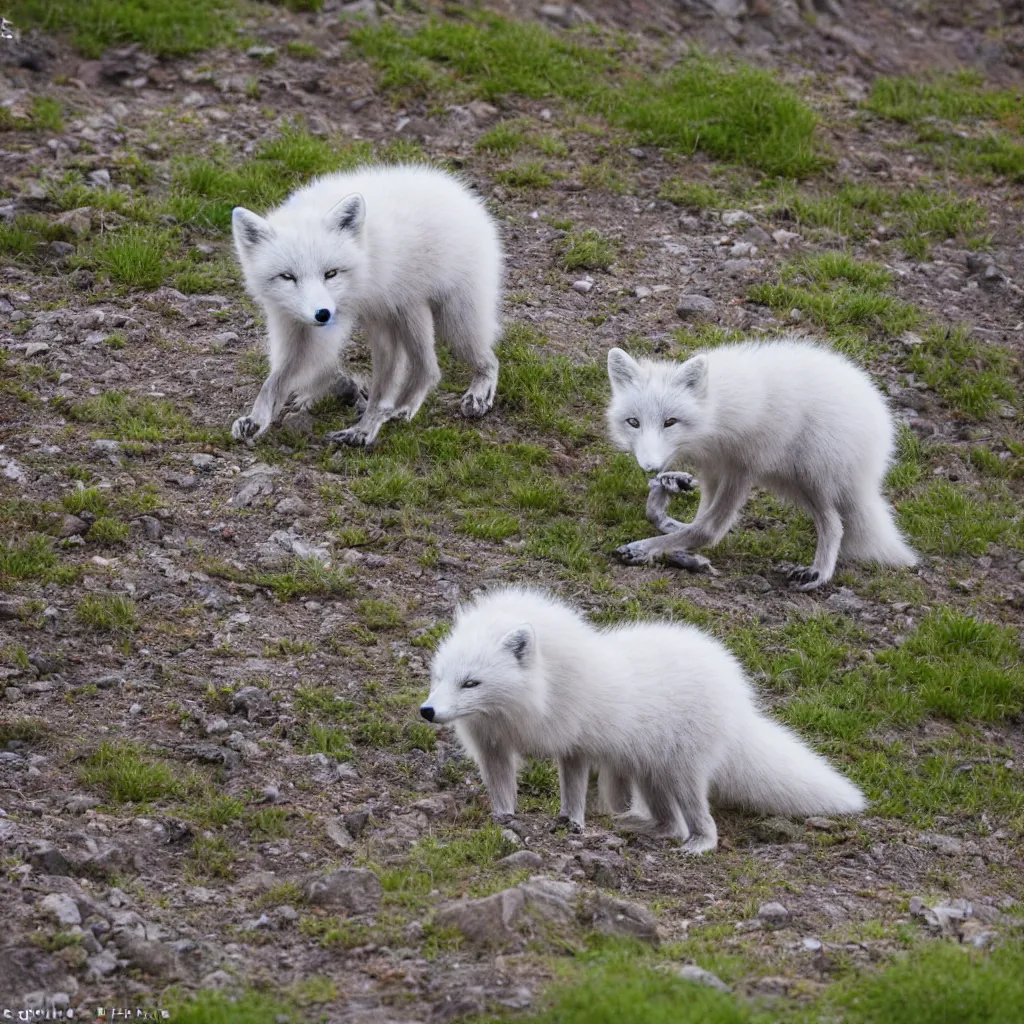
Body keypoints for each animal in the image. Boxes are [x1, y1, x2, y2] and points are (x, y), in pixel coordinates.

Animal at [231, 162, 503, 444]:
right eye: (287, 277)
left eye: (331, 273)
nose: (322, 314)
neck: (366, 260)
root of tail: (461, 192)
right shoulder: (297, 328)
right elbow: (275, 380)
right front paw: (256, 419)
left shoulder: (377, 320)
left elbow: (381, 391)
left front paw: (363, 429)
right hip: (411, 313)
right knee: (429, 369)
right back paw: (401, 408)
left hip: (446, 321)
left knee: (482, 361)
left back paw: (476, 395)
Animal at [419, 589, 868, 851]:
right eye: (439, 678)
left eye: (471, 682)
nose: (428, 712)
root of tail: (737, 692)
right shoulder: (494, 748)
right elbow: (502, 791)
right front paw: (504, 819)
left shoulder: (576, 744)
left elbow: (573, 792)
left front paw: (571, 824)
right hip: (650, 773)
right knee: (671, 824)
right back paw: (633, 826)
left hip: (682, 772)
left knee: (697, 824)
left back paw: (696, 844)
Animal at [606, 337, 921, 589]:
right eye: (633, 422)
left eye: (670, 422)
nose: (649, 466)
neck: (716, 414)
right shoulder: (713, 469)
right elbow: (695, 524)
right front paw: (677, 540)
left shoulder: (741, 470)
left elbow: (706, 530)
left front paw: (645, 549)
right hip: (791, 482)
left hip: (809, 479)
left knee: (834, 525)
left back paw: (818, 574)